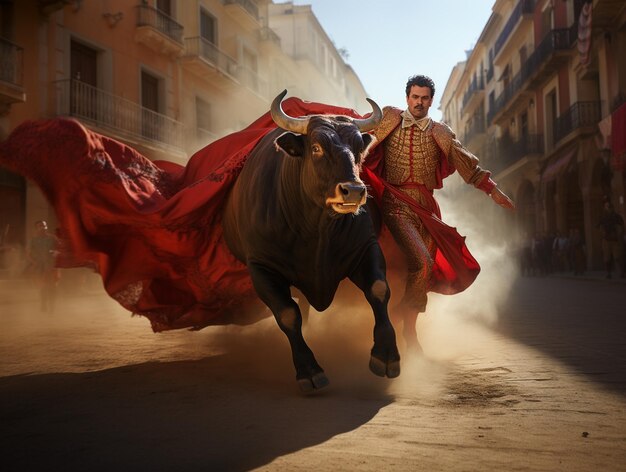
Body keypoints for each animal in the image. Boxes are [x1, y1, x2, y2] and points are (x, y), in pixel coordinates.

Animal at [223, 90, 400, 392]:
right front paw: (309, 369)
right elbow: (287, 313)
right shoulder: (260, 267)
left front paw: (386, 355)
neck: (317, 230)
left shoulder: (366, 248)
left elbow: (378, 289)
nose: (354, 191)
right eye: (316, 148)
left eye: (358, 149)